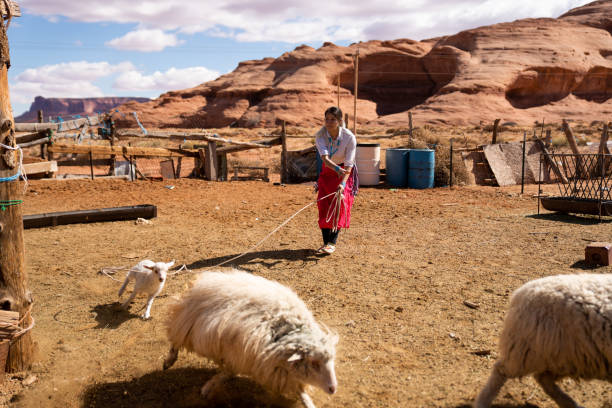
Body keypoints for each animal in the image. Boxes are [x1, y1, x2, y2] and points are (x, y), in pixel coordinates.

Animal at [161, 270, 340, 406]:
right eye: (314, 363)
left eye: (331, 361)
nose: (333, 388)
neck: (285, 334)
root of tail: (202, 280)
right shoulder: (240, 356)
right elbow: (228, 373)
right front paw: (208, 388)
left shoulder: (282, 371)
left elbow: (301, 392)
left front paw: (308, 402)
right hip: (185, 325)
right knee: (175, 342)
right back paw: (169, 361)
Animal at [474, 274, 612, 408]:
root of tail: (521, 293)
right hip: (526, 351)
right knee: (500, 371)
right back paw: (482, 403)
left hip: (562, 357)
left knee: (543, 379)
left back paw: (570, 404)